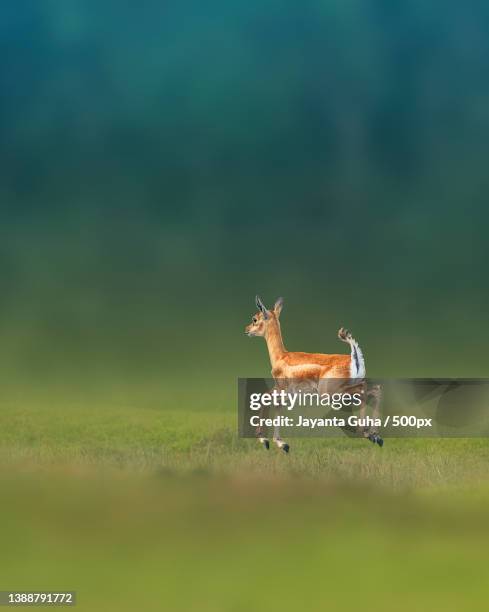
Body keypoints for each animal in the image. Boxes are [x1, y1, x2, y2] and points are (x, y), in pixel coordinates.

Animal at [244, 296, 382, 454]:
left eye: (254, 319)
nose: (246, 330)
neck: (281, 356)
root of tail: (353, 357)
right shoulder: (287, 393)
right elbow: (275, 404)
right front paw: (280, 443)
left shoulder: (282, 388)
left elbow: (265, 398)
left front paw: (267, 440)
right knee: (375, 390)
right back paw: (376, 436)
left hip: (332, 393)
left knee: (365, 389)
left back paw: (366, 432)